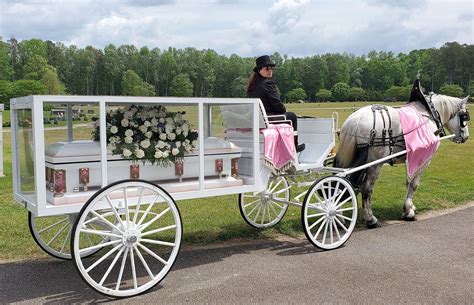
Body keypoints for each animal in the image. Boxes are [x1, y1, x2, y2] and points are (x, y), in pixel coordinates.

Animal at [334, 94, 470, 227]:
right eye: (464, 116)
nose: (466, 136)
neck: (430, 114)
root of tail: (356, 119)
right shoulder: (423, 159)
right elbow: (414, 184)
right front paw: (408, 211)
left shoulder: (410, 159)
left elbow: (408, 182)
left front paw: (409, 207)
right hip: (374, 164)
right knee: (366, 189)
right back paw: (370, 219)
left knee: (340, 184)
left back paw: (339, 215)